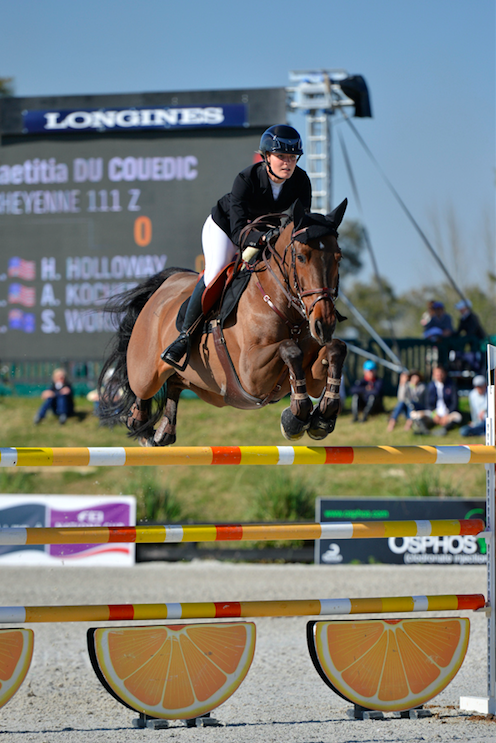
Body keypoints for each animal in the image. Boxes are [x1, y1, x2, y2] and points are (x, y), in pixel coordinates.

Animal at [99, 198, 348, 448]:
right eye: (301, 257)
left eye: (338, 258)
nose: (324, 325)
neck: (281, 308)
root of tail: (165, 285)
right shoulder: (251, 375)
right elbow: (290, 349)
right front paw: (296, 417)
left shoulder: (311, 376)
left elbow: (336, 349)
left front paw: (324, 415)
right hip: (146, 373)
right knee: (140, 390)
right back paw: (141, 424)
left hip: (209, 390)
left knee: (176, 382)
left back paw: (164, 430)